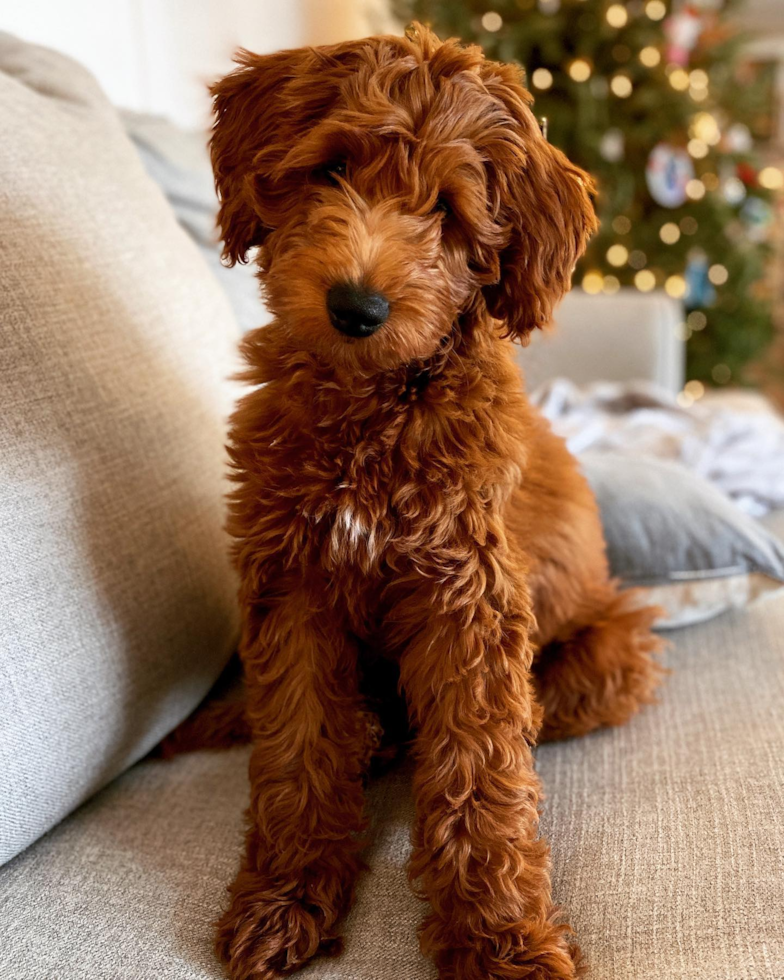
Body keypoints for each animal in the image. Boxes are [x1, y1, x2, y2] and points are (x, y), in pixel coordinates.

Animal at [187, 23, 664, 980]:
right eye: (332, 169)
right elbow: (297, 747)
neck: (371, 411)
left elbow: (480, 774)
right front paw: (284, 898)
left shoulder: (469, 598)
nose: (356, 306)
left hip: (610, 651)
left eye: (446, 210)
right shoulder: (291, 584)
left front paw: (499, 940)